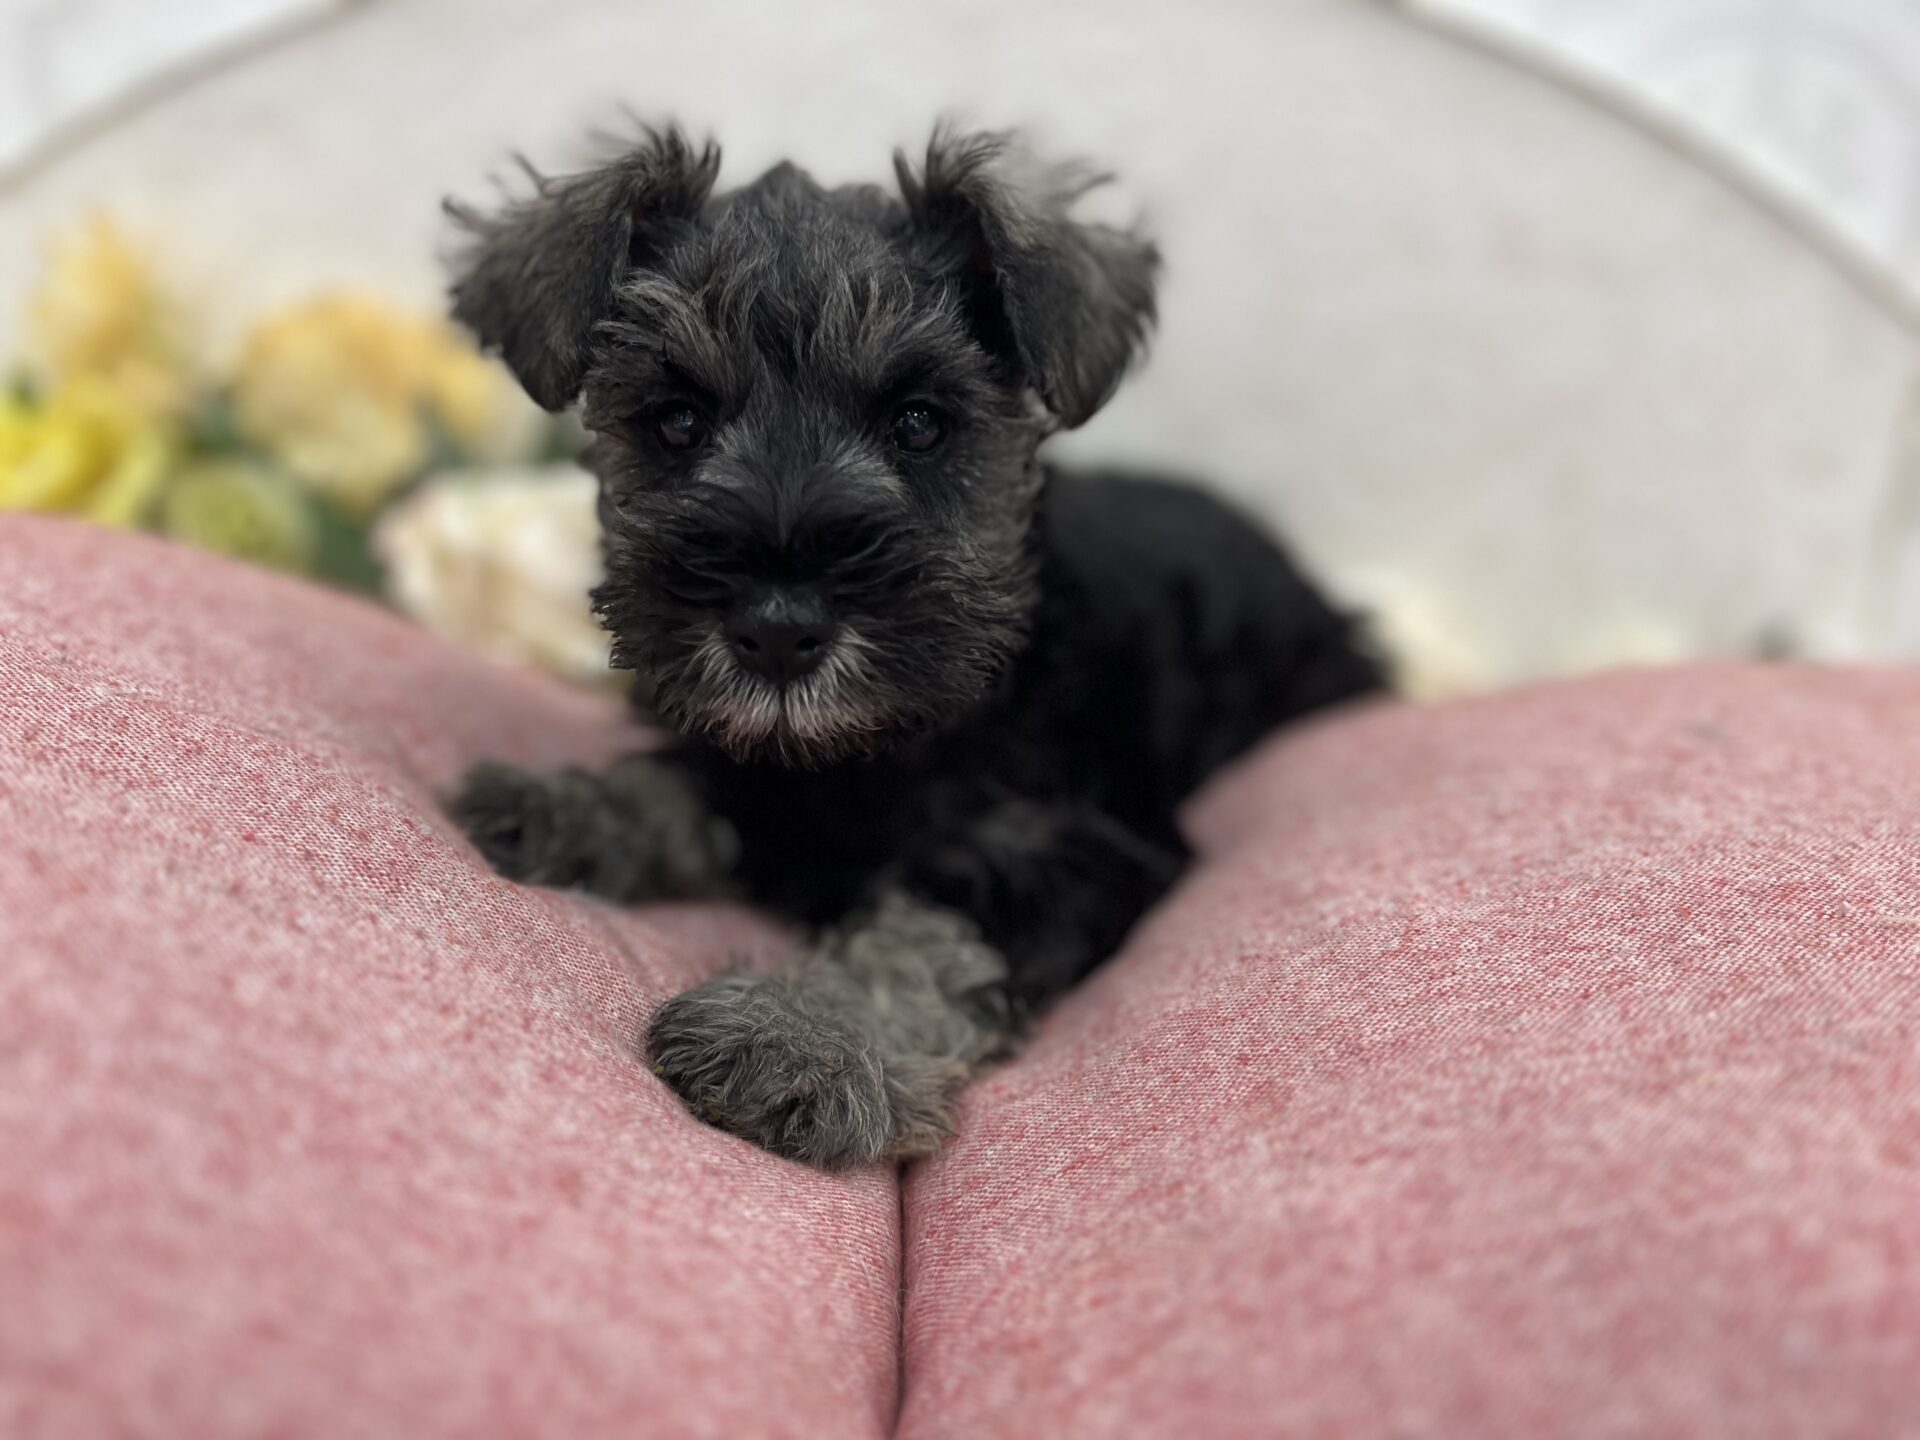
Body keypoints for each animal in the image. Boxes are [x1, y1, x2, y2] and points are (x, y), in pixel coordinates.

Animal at [442, 124, 1385, 1168]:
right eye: (677, 419)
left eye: (920, 422)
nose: (779, 629)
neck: (866, 759)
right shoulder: (748, 763)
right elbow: (680, 786)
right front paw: (563, 805)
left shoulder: (1070, 848)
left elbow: (926, 935)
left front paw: (798, 1040)